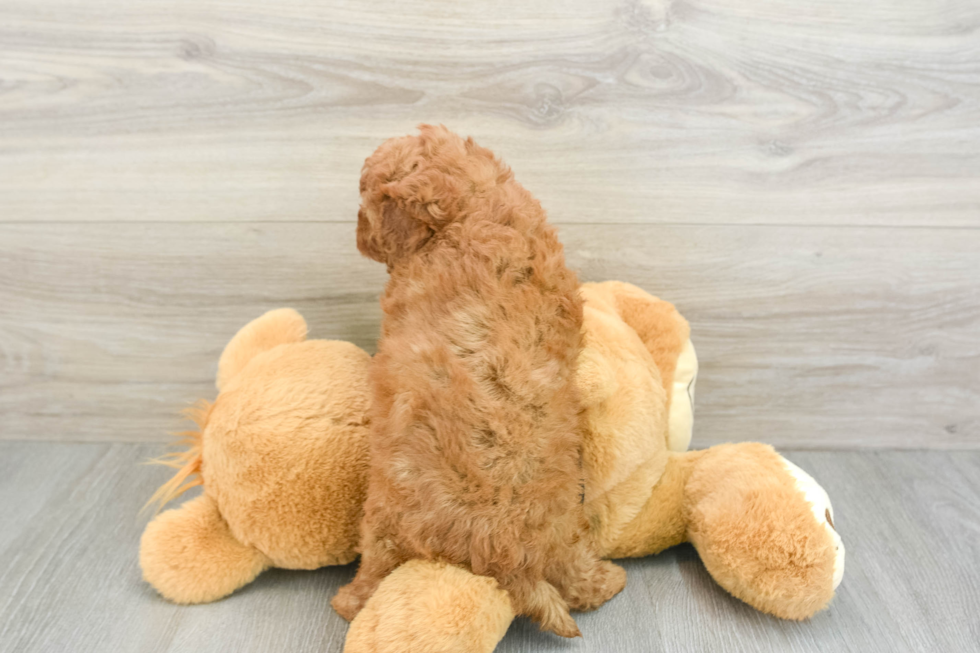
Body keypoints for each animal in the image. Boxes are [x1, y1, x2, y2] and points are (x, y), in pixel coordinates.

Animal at [334, 125, 628, 636]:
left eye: (364, 204)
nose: (358, 237)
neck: (474, 207)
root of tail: (503, 557)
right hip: (566, 525)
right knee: (574, 568)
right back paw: (606, 582)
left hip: (383, 521)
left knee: (373, 571)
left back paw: (347, 603)